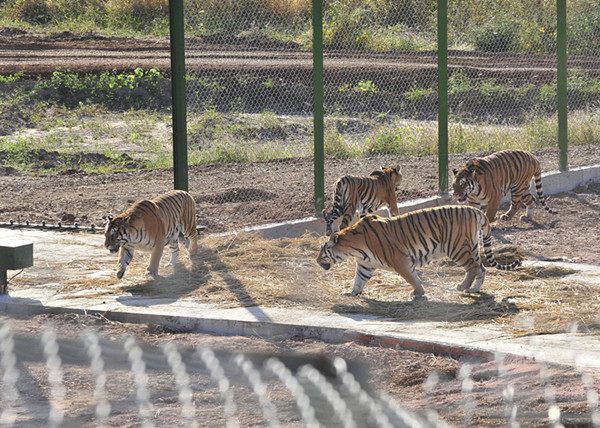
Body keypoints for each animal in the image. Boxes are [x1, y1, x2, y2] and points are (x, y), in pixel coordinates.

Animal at [316, 206, 516, 296]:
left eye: (322, 250)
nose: (317, 261)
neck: (354, 249)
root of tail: (475, 209)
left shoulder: (400, 259)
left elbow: (411, 276)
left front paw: (418, 292)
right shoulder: (365, 265)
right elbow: (359, 280)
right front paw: (351, 294)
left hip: (457, 248)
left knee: (474, 268)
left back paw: (463, 287)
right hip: (471, 247)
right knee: (481, 268)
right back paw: (474, 289)